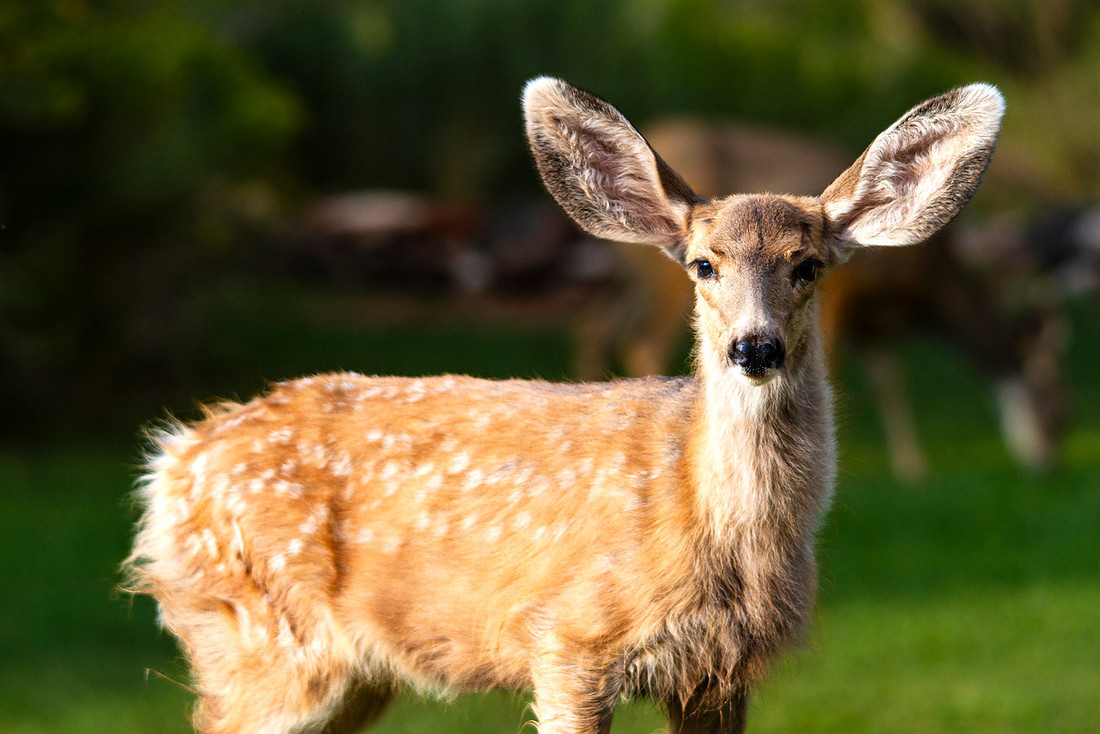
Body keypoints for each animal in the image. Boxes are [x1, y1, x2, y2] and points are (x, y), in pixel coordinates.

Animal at [126, 77, 1003, 733]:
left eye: (809, 264)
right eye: (703, 263)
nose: (755, 349)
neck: (716, 529)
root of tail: (171, 460)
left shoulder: (720, 672)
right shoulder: (569, 638)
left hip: (345, 673)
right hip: (260, 636)